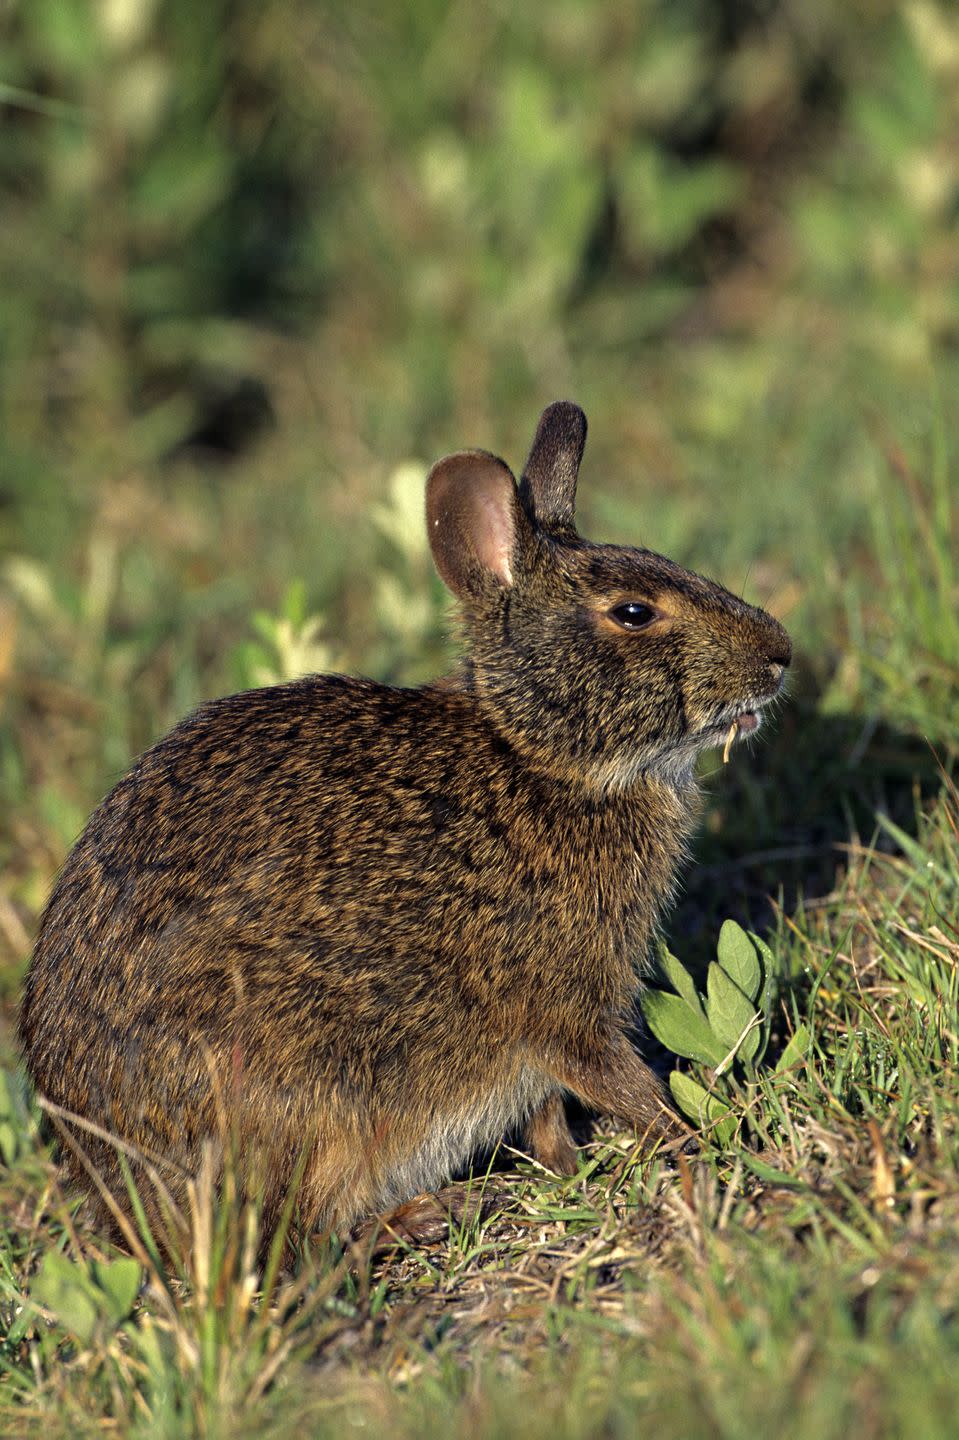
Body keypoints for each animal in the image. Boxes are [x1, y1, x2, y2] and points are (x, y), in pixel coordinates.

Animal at [18, 403, 789, 1249]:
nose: (780, 654)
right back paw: (422, 1214)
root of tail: (127, 1208)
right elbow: (612, 1078)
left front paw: (569, 1166)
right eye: (632, 612)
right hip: (311, 1102)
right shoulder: (558, 998)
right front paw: (697, 1138)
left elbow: (548, 1108)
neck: (536, 756)